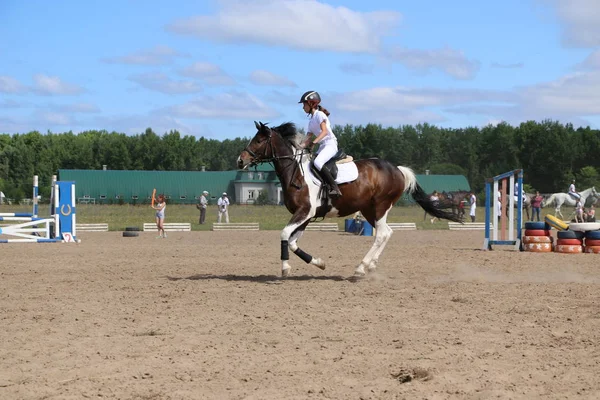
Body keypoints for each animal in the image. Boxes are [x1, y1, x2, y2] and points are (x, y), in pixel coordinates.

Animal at [237, 122, 462, 278]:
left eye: (258, 141)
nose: (240, 160)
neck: (296, 172)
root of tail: (397, 169)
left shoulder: (304, 212)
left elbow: (284, 235)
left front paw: (285, 268)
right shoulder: (305, 216)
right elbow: (292, 242)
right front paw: (319, 262)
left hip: (380, 206)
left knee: (381, 234)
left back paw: (361, 268)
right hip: (370, 210)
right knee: (387, 232)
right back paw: (371, 265)